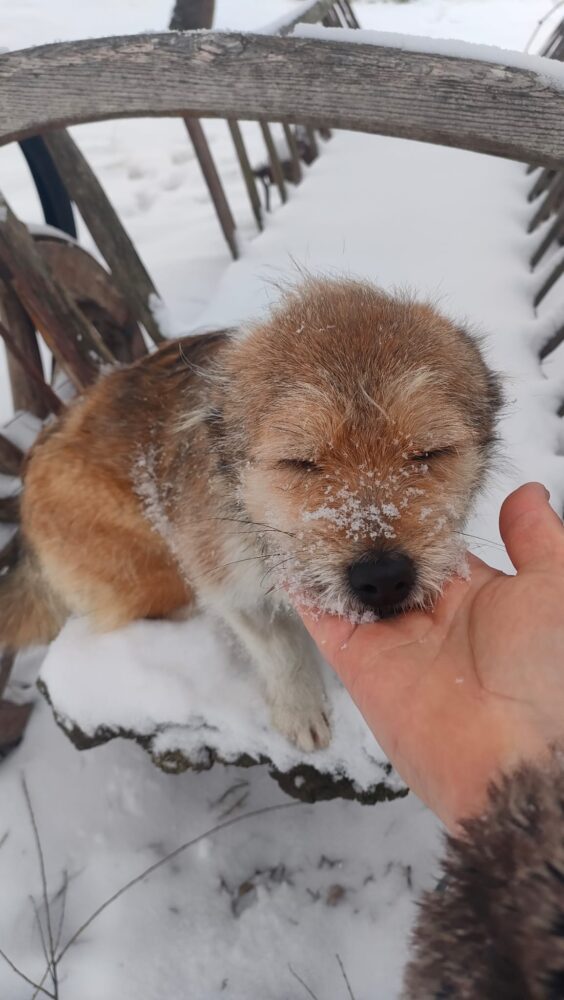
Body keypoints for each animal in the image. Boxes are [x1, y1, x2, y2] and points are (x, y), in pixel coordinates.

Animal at [0, 278, 502, 751]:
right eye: (300, 461)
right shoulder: (224, 581)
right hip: (148, 574)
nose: (383, 578)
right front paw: (301, 708)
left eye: (429, 452)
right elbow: (277, 650)